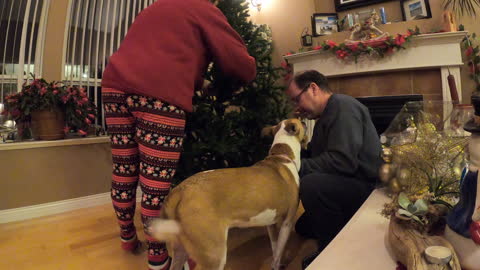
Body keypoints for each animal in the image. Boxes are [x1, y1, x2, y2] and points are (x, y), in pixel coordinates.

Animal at [151, 118, 308, 270]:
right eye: (301, 121)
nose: (306, 122)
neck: (282, 155)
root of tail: (179, 190)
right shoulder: (287, 223)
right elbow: (279, 253)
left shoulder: (271, 223)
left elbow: (275, 249)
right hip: (214, 256)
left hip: (180, 250)